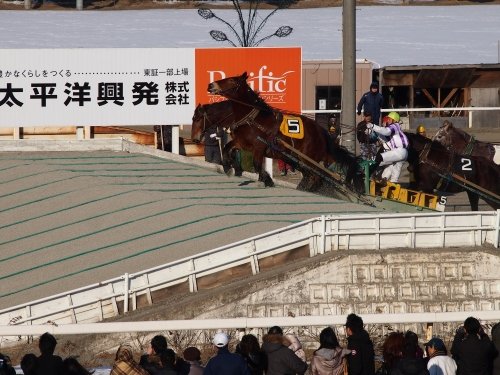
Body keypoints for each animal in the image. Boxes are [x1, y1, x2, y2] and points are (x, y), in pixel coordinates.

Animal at [205, 72, 362, 192]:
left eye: (232, 80)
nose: (211, 85)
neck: (253, 119)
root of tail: (323, 133)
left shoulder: (259, 146)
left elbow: (257, 164)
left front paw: (266, 179)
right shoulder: (241, 142)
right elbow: (226, 148)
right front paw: (228, 167)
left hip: (307, 158)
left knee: (315, 177)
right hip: (295, 159)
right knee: (310, 176)